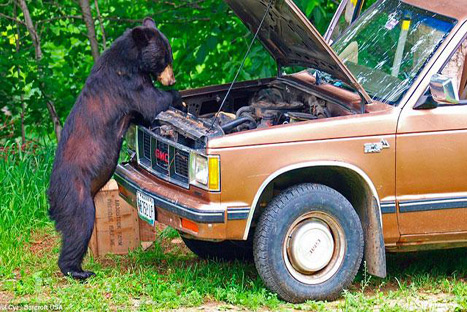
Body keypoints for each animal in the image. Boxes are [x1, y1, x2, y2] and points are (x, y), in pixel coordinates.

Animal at [47, 17, 179, 280]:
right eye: (164, 59)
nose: (172, 80)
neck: (130, 61)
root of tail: (50, 197)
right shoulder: (126, 85)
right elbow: (151, 102)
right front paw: (176, 95)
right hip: (75, 193)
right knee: (79, 226)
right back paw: (77, 270)